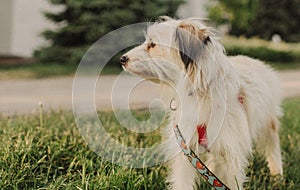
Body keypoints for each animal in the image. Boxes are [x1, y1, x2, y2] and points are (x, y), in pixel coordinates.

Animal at [120, 17, 284, 189]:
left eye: (152, 44)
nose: (122, 59)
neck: (199, 93)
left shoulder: (230, 153)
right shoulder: (185, 148)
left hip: (268, 124)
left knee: (272, 146)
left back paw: (277, 174)